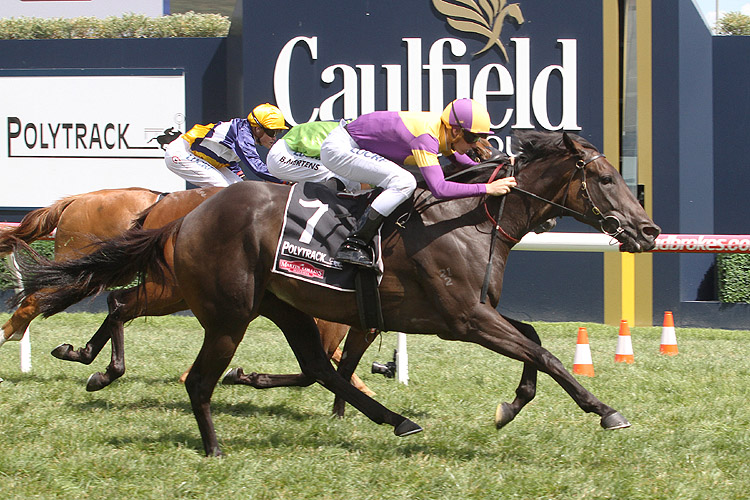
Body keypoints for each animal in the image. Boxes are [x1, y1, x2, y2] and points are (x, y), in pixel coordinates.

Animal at [10, 132, 656, 458]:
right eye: (605, 177)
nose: (647, 231)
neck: (469, 216)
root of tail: (183, 217)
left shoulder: (471, 312)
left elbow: (533, 340)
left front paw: (511, 405)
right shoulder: (463, 317)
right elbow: (543, 352)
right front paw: (605, 411)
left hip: (280, 306)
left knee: (317, 366)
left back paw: (395, 420)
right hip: (227, 311)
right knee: (190, 368)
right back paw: (209, 444)